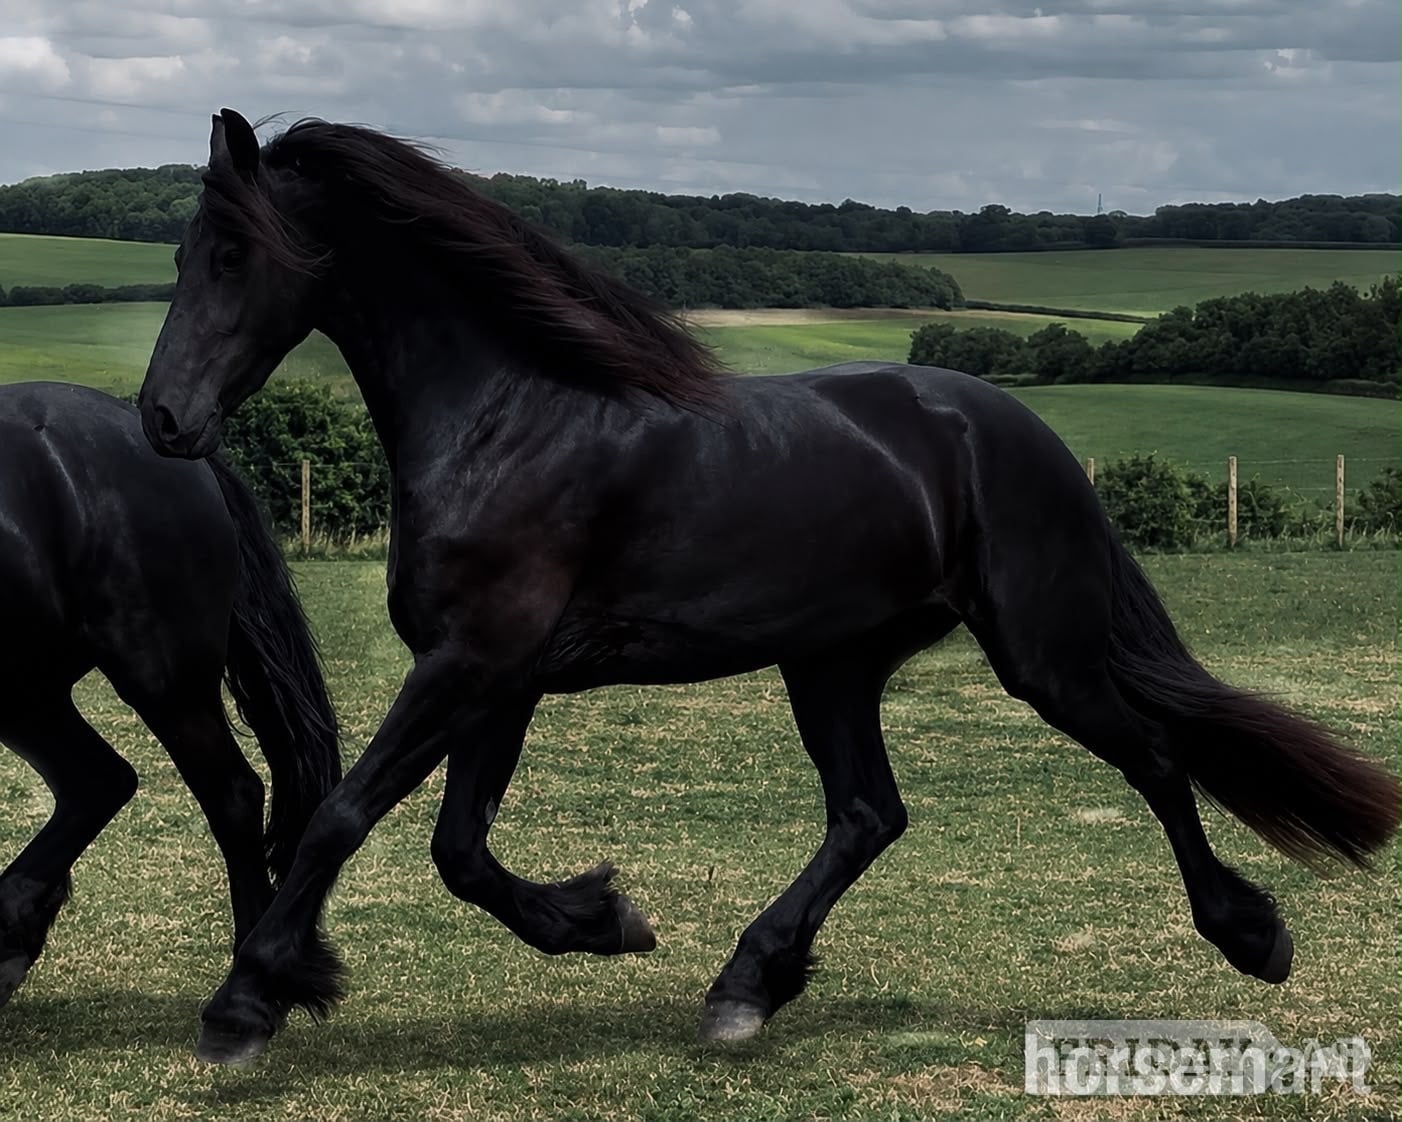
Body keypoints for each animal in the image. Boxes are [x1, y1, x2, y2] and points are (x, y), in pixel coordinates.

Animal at [136, 109, 1398, 1065]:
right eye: (184, 256)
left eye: (233, 254)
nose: (163, 419)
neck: (508, 421)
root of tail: (1017, 432)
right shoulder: (497, 678)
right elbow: (460, 852)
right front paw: (606, 920)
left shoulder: (472, 665)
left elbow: (346, 815)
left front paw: (245, 1005)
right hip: (832, 661)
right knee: (870, 813)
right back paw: (746, 985)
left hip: (1040, 652)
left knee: (1153, 755)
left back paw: (1251, 937)